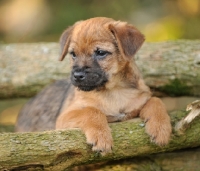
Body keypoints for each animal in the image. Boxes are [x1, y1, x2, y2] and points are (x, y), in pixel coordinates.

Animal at [55, 17, 171, 154]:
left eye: (100, 52)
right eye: (73, 54)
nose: (77, 75)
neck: (114, 91)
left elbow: (156, 100)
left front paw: (161, 128)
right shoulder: (64, 117)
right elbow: (91, 110)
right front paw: (101, 137)